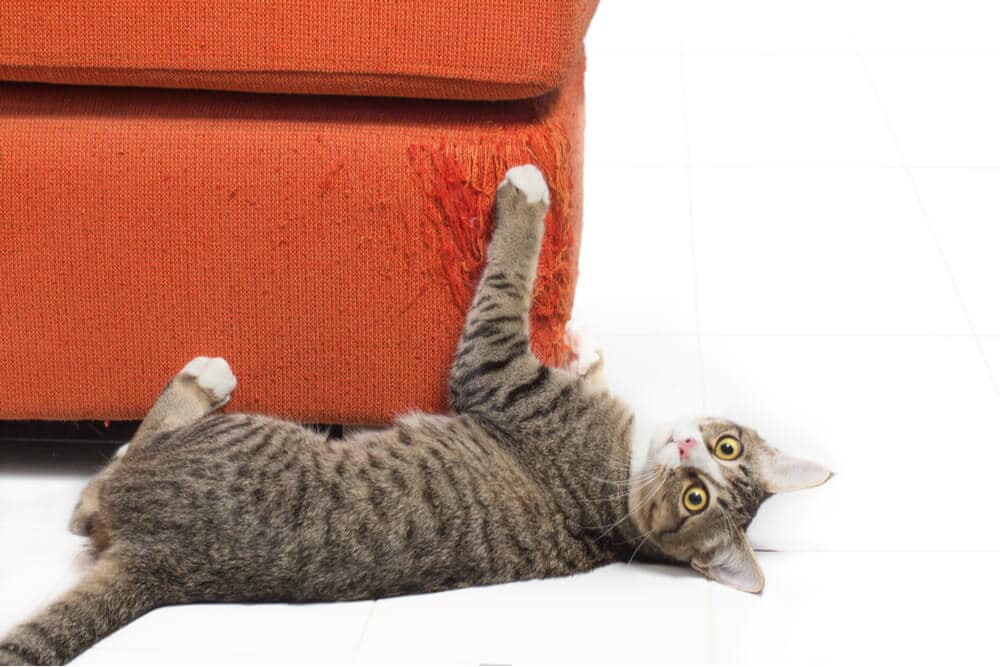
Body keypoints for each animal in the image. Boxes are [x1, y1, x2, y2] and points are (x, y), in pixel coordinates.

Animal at [0, 164, 828, 664]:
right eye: (725, 451)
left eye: (696, 495)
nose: (689, 446)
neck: (618, 487)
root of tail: (161, 564)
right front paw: (586, 346)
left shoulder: (495, 371)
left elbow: (509, 277)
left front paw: (527, 200)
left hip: (244, 434)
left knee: (97, 490)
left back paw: (198, 383)